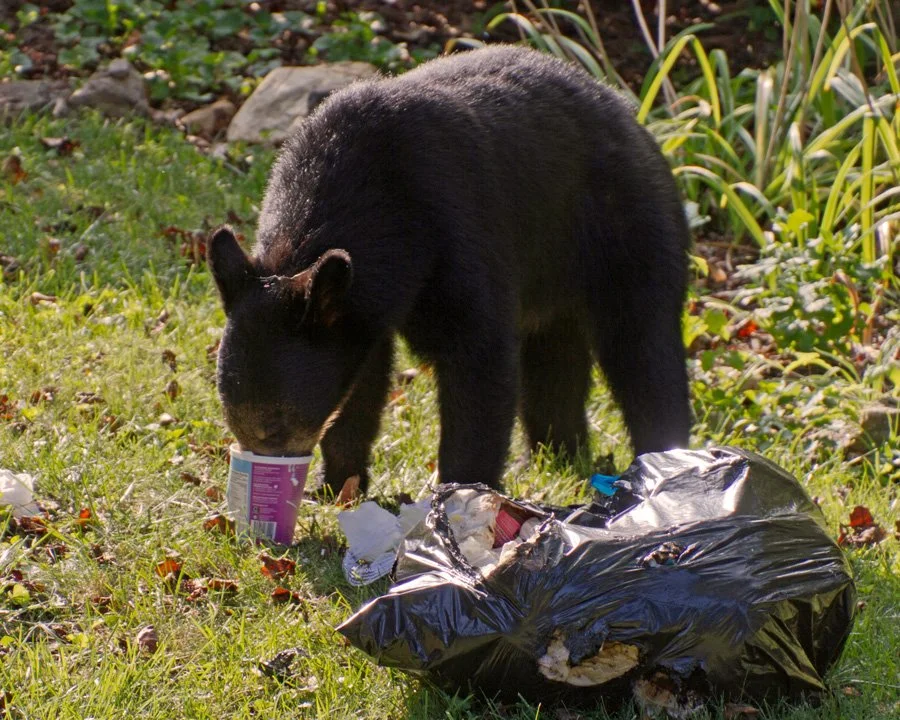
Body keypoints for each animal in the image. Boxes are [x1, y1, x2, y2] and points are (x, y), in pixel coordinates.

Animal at [208, 45, 692, 496]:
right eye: (235, 421)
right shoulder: (360, 306)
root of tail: (631, 115)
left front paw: (461, 494)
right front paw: (337, 485)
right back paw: (552, 457)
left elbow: (479, 359)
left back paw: (663, 463)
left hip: (625, 229)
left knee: (643, 346)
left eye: (275, 425)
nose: (266, 473)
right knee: (554, 361)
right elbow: (363, 382)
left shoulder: (456, 232)